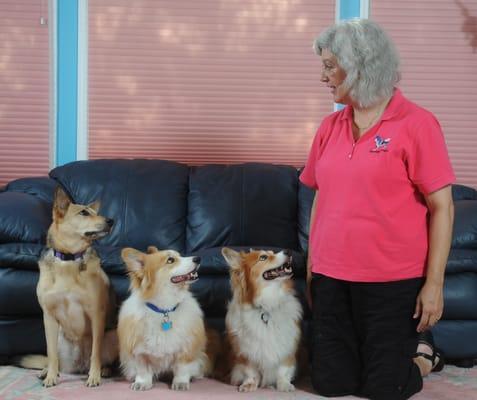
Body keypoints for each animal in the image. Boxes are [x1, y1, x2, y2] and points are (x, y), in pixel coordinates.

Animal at [19, 188, 118, 388]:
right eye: (84, 213)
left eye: (95, 212)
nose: (111, 221)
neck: (69, 258)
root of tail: (79, 366)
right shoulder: (48, 317)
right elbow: (50, 354)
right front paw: (50, 377)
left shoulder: (97, 314)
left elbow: (96, 352)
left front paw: (94, 377)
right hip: (58, 336)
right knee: (55, 360)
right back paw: (47, 371)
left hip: (112, 335)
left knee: (101, 358)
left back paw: (104, 370)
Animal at [220, 248, 302, 392]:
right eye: (263, 257)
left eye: (273, 253)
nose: (288, 251)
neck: (267, 304)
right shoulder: (246, 349)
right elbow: (250, 371)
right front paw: (249, 384)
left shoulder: (287, 345)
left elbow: (283, 369)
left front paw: (284, 385)